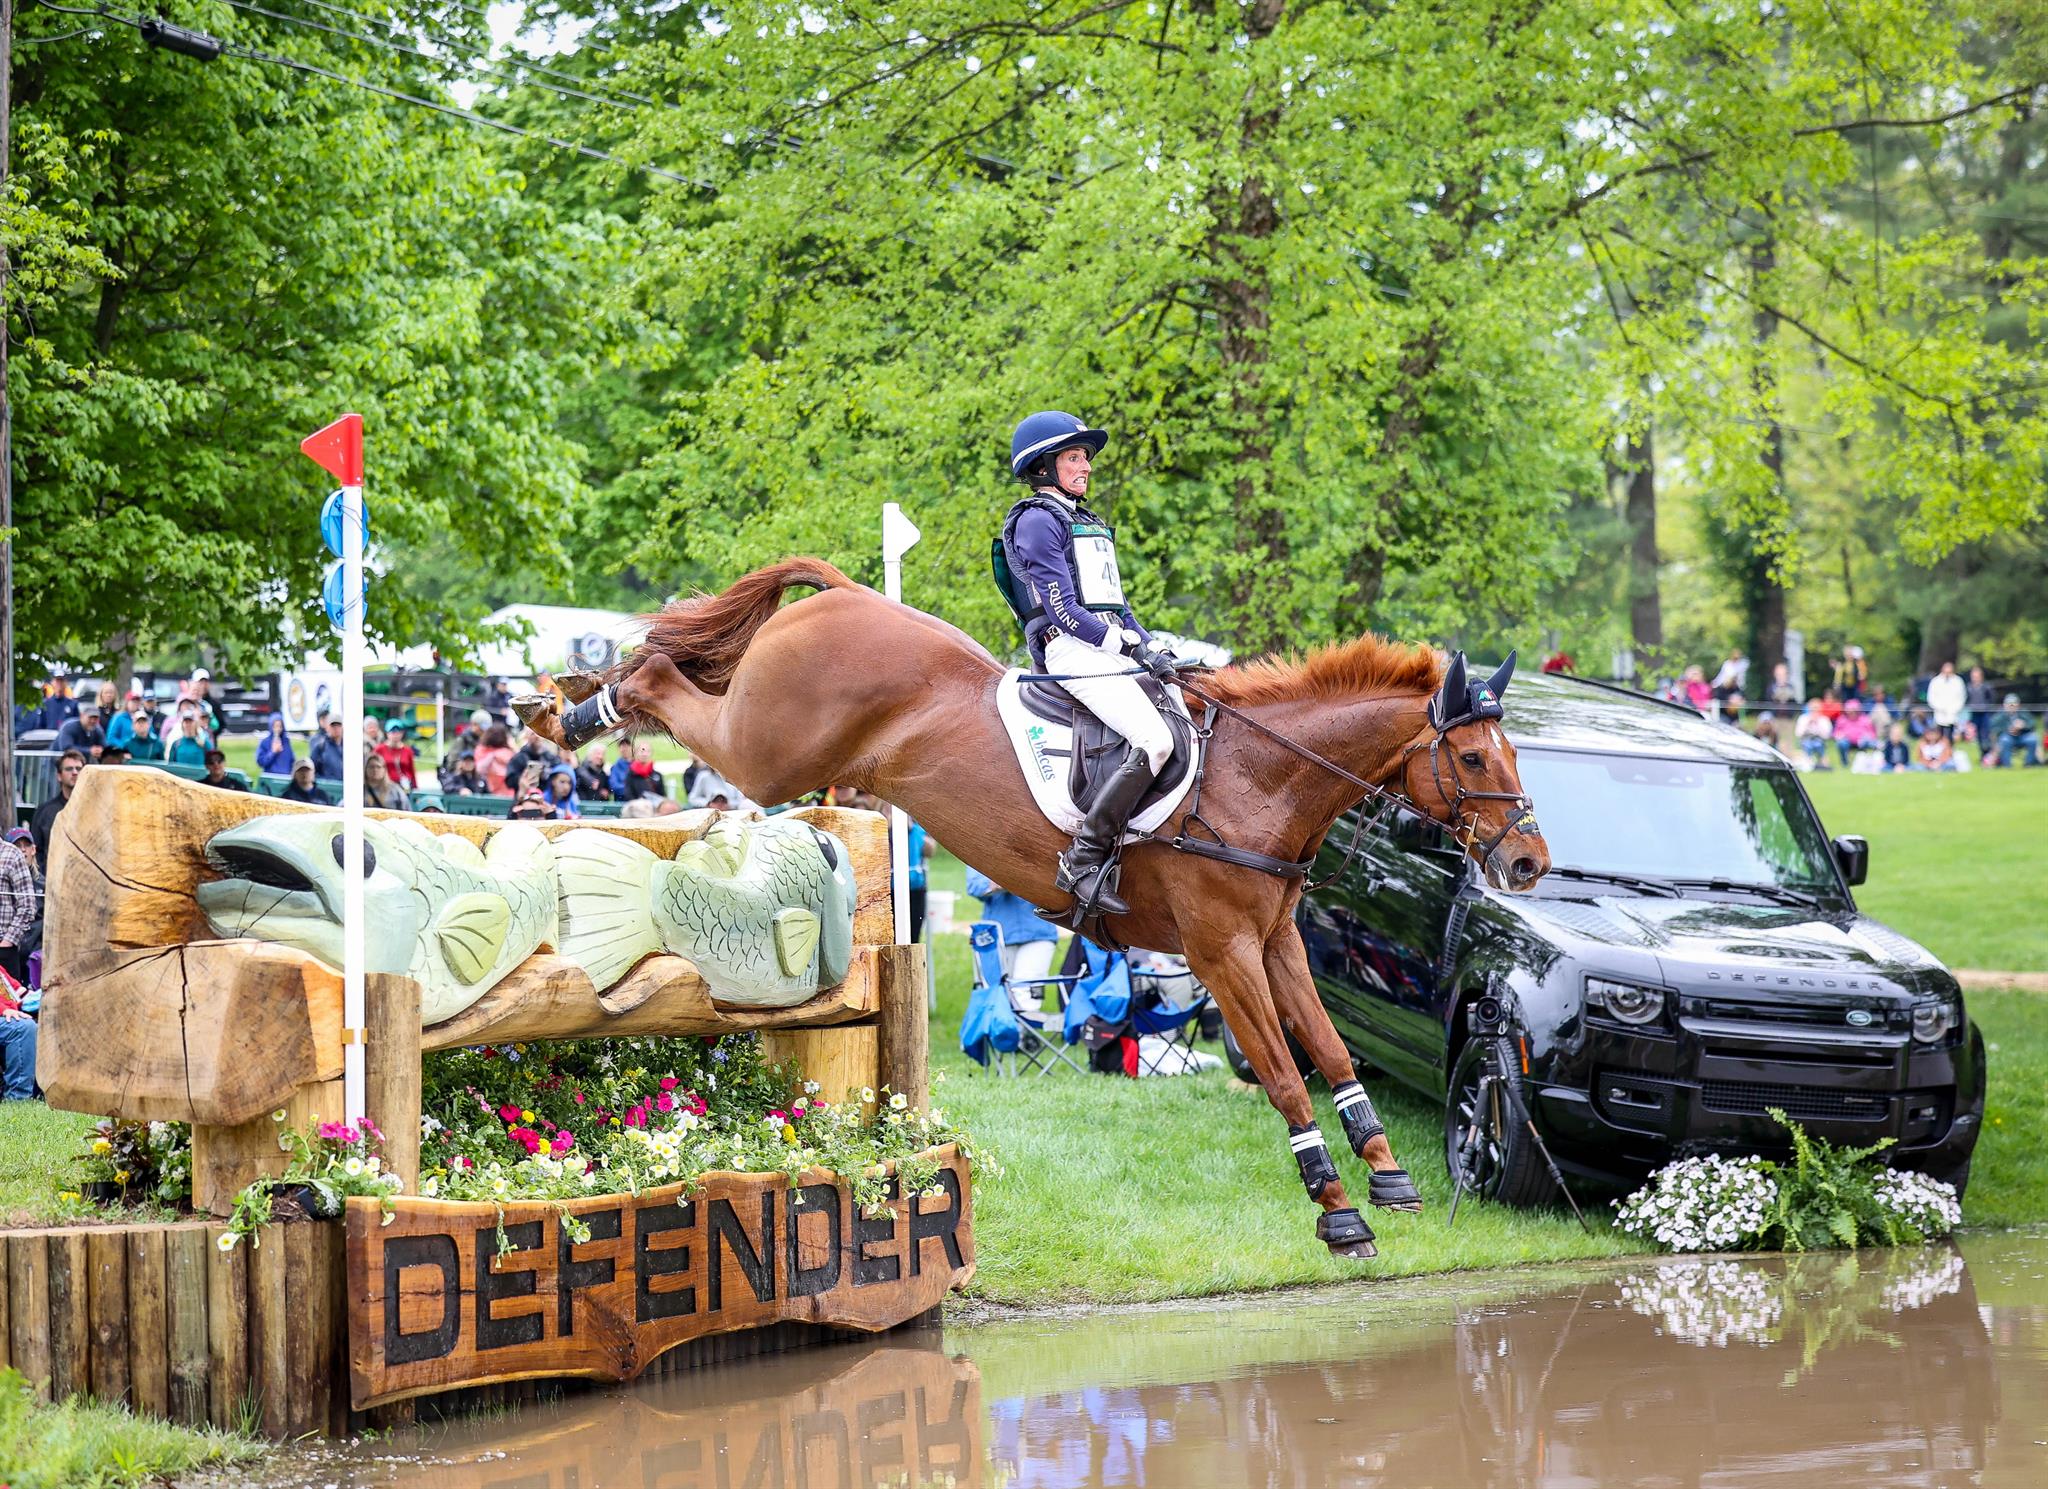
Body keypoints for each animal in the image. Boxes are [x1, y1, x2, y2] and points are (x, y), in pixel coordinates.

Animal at [516, 557, 1548, 1261]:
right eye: (1473, 758)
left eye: (1510, 756)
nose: (1530, 861)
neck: (1260, 776)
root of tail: (846, 594)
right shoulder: (1221, 951)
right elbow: (1286, 1075)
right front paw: (1336, 1210)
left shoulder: (1274, 941)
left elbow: (1329, 1052)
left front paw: (1388, 1173)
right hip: (767, 749)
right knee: (664, 685)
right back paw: (570, 706)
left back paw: (570, 698)